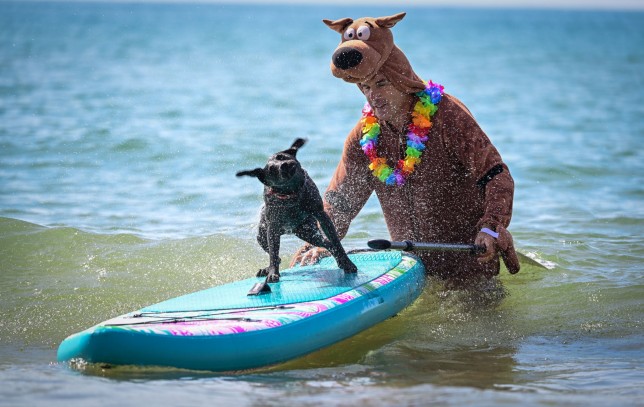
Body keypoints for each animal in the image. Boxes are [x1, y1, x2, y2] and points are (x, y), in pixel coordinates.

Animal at [236, 139, 358, 286]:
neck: (291, 193)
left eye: (281, 157)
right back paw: (267, 269)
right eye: (272, 170)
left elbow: (336, 242)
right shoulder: (272, 227)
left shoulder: (321, 215)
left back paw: (339, 260)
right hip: (264, 236)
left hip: (309, 233)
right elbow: (273, 254)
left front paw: (347, 262)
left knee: (327, 243)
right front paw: (272, 273)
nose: (283, 165)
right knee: (276, 256)